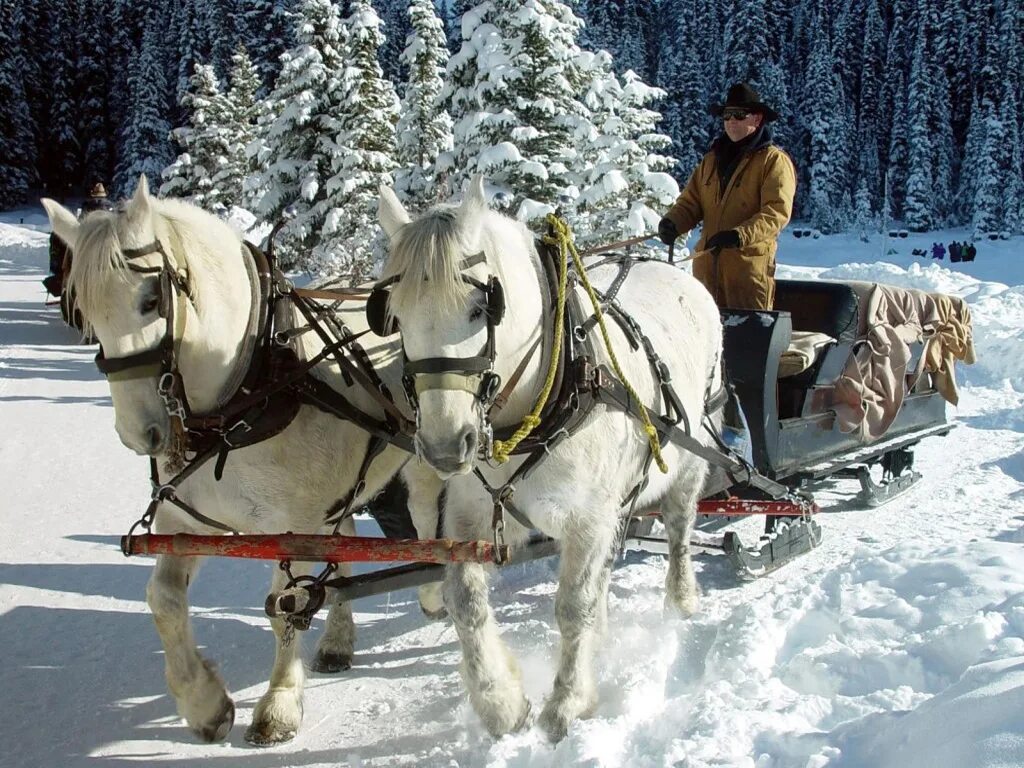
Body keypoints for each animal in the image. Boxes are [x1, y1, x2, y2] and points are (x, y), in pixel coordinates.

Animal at [41, 179, 442, 745]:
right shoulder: (184, 521)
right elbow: (163, 600)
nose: (139, 434)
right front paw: (205, 704)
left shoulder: (293, 528)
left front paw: (279, 705)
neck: (249, 393)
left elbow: (285, 608)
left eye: (151, 299)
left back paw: (433, 592)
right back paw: (338, 641)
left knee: (428, 525)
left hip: (424, 462)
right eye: (87, 313)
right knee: (344, 549)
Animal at [380, 177, 724, 741]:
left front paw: (566, 704)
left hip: (689, 459)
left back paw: (681, 599)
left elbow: (571, 607)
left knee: (678, 528)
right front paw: (500, 704)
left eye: (481, 308)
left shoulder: (587, 517)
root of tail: (675, 270)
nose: (445, 447)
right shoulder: (472, 513)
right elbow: (465, 600)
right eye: (396, 316)